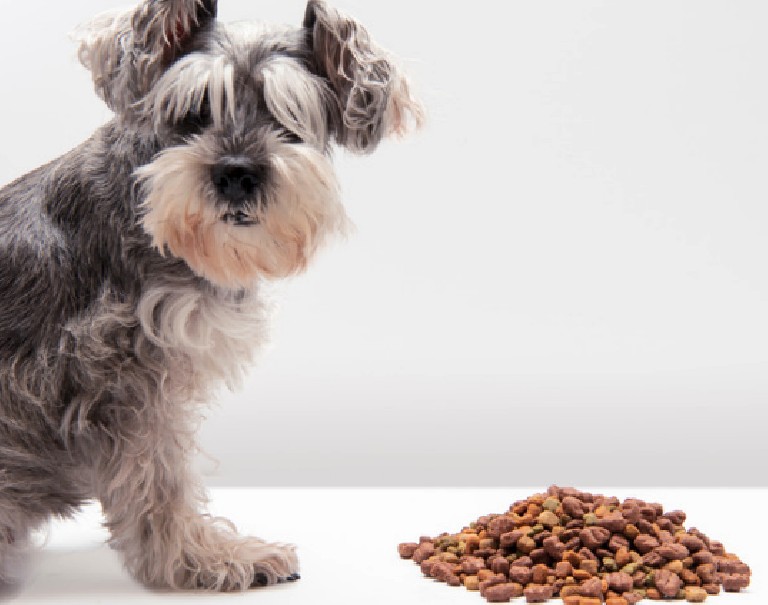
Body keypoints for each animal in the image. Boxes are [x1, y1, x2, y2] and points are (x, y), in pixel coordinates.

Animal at [0, 0, 422, 591]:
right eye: (194, 110)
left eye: (289, 117)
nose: (237, 174)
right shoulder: (122, 377)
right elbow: (159, 479)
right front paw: (204, 561)